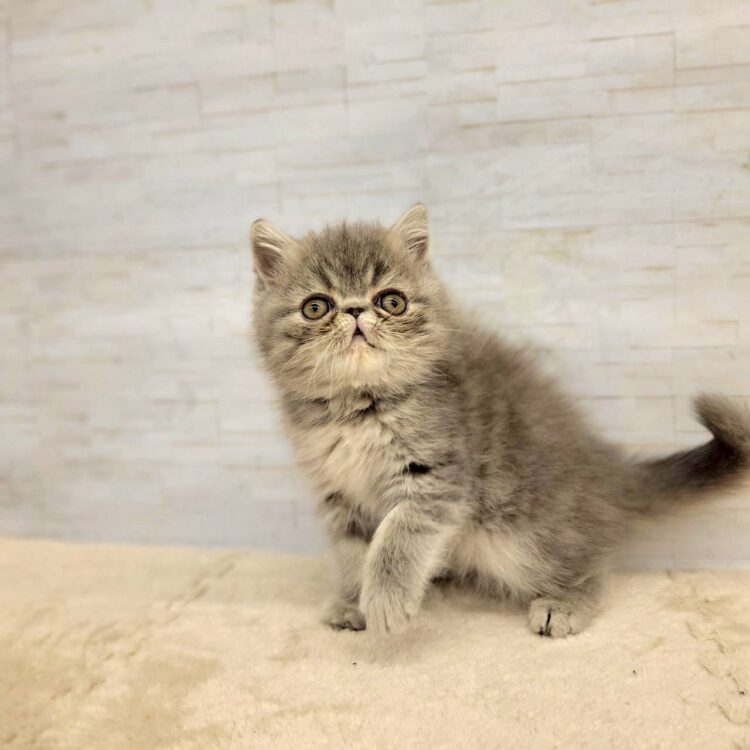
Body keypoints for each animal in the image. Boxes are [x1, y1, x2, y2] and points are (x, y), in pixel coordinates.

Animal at [250, 204, 750, 637]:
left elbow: (399, 534)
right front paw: (354, 601)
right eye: (317, 306)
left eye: (390, 301)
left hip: (518, 532)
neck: (358, 408)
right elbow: (354, 552)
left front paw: (386, 600)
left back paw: (566, 602)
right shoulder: (339, 493)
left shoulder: (437, 473)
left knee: (587, 562)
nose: (355, 310)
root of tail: (606, 472)